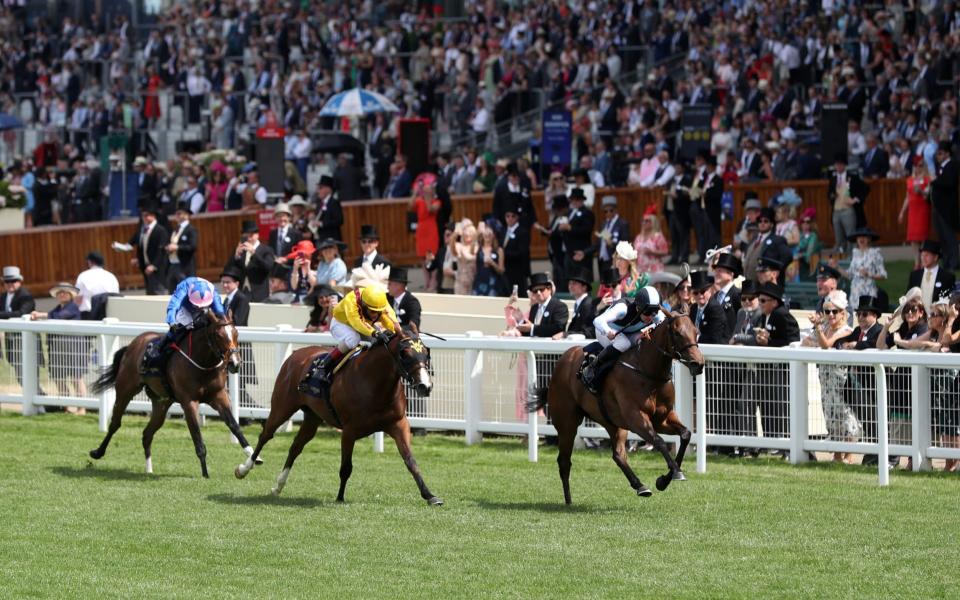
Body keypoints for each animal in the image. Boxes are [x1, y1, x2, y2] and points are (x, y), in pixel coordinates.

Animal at [89, 310, 253, 478]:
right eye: (218, 335)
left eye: (236, 333)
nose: (235, 363)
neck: (202, 363)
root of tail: (132, 345)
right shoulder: (189, 402)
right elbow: (198, 439)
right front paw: (205, 475)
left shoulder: (219, 397)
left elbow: (234, 425)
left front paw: (251, 458)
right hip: (125, 390)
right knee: (115, 423)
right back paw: (97, 452)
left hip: (161, 402)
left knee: (147, 434)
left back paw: (149, 470)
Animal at [234, 328, 444, 506]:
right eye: (405, 354)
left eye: (426, 353)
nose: (425, 386)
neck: (375, 383)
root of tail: (296, 354)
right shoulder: (349, 431)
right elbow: (346, 467)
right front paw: (340, 497)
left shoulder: (398, 425)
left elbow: (411, 462)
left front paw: (430, 495)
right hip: (282, 407)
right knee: (265, 435)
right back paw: (244, 469)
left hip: (313, 418)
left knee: (295, 447)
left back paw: (278, 486)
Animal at [524, 312, 704, 504]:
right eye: (677, 333)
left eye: (696, 332)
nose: (698, 363)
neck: (647, 370)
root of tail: (562, 361)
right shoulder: (636, 418)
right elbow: (659, 441)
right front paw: (674, 473)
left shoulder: (662, 419)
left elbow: (685, 435)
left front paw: (664, 479)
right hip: (567, 424)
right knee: (564, 461)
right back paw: (569, 501)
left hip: (612, 422)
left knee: (618, 455)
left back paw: (640, 486)